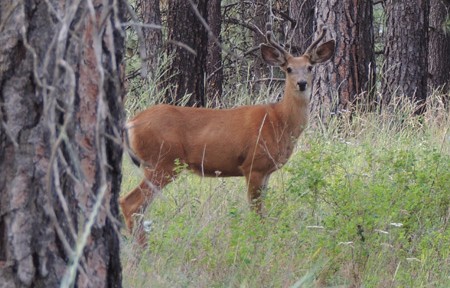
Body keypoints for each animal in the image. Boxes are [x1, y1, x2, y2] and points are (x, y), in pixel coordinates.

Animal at [119, 25, 334, 243]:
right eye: (288, 68)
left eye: (310, 67)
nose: (302, 83)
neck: (279, 121)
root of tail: (131, 123)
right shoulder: (253, 165)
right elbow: (256, 213)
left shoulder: (266, 171)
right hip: (162, 162)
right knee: (130, 203)